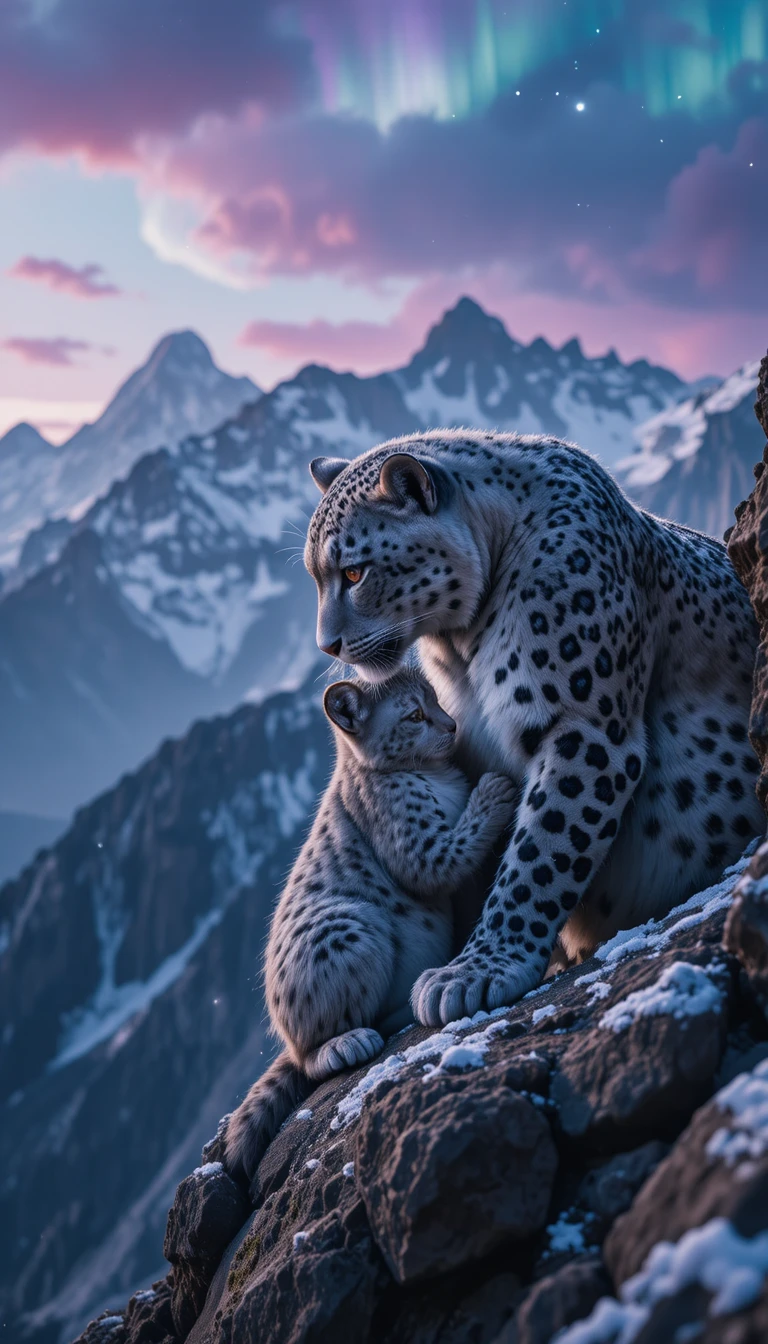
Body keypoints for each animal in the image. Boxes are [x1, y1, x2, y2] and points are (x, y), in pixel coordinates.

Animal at [224, 667, 515, 1184]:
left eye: (435, 698)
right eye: (415, 715)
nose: (451, 726)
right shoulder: (420, 848)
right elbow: (454, 849)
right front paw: (493, 790)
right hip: (352, 926)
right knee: (309, 1056)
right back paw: (349, 1041)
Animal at [304, 429, 762, 1028]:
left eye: (354, 572)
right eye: (314, 574)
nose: (326, 647)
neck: (460, 645)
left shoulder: (583, 728)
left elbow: (540, 854)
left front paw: (475, 971)